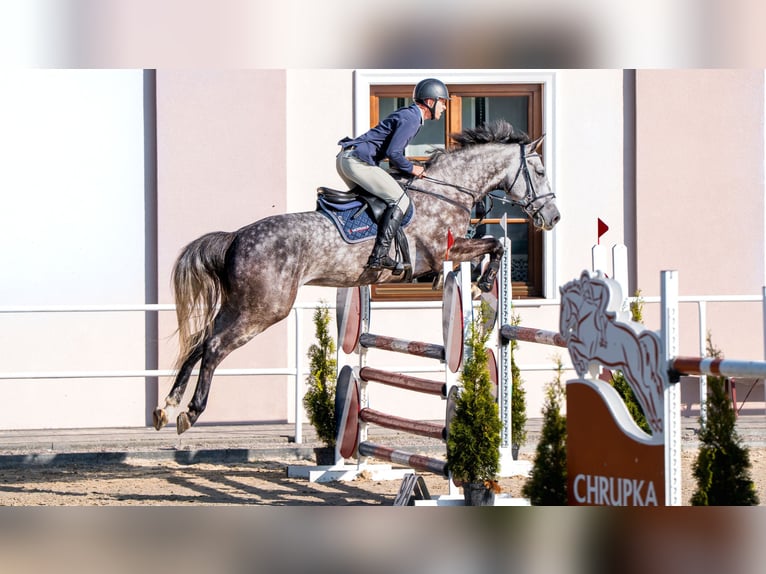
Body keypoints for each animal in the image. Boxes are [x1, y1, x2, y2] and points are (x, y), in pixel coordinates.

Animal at [154, 120, 560, 434]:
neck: (447, 191)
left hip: (238, 305)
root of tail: (236, 237)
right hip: (263, 310)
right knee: (214, 347)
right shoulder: (445, 251)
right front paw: (484, 284)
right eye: (540, 172)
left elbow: (495, 244)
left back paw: (167, 407)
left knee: (200, 342)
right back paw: (190, 412)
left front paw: (481, 285)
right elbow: (496, 244)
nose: (553, 217)